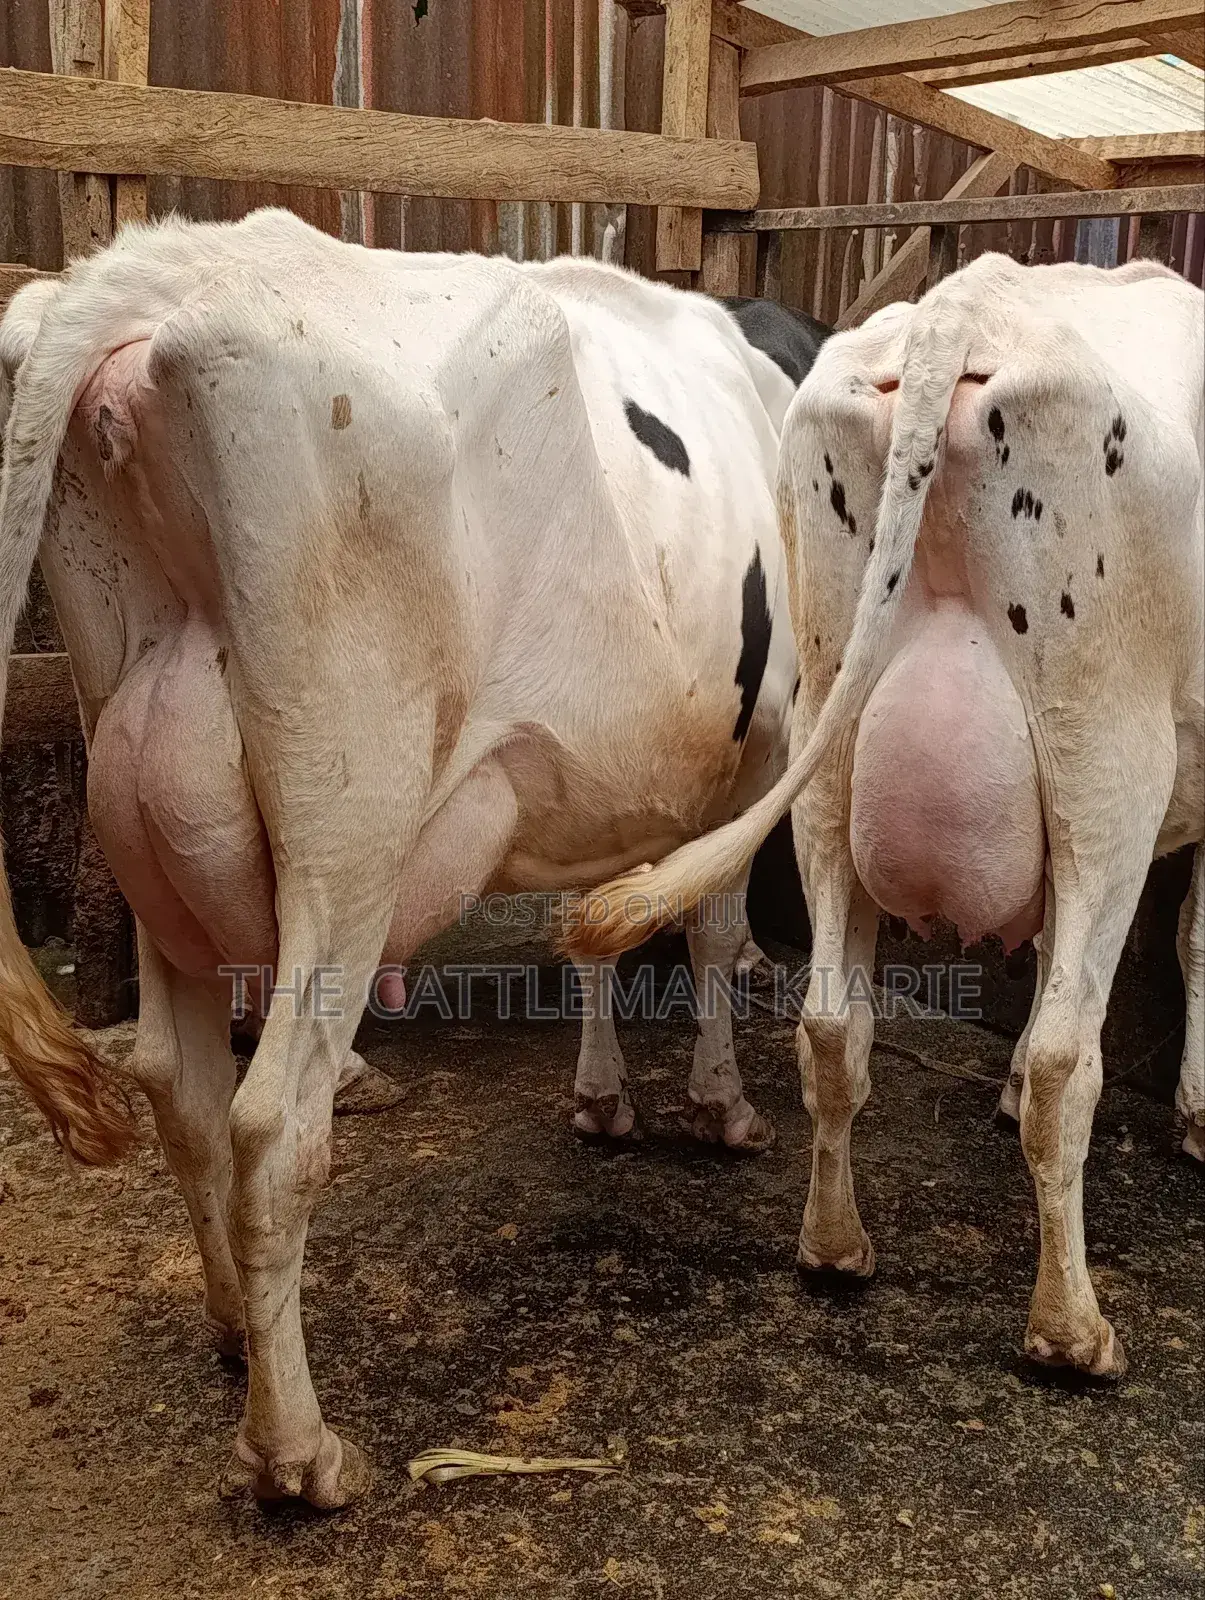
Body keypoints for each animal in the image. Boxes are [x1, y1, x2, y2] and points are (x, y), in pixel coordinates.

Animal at [0, 207, 832, 1505]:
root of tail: (167, 266)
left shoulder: (610, 768)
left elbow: (596, 922)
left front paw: (603, 1094)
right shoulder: (765, 735)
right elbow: (702, 925)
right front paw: (720, 1102)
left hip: (146, 801)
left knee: (181, 1090)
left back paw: (234, 1332)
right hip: (350, 827)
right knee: (270, 1125)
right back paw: (296, 1449)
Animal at [576, 251, 1204, 1382]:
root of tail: (963, 308)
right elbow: (1188, 939)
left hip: (826, 750)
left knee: (831, 1022)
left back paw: (832, 1245)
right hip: (1103, 765)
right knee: (1066, 1056)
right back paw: (1070, 1328)